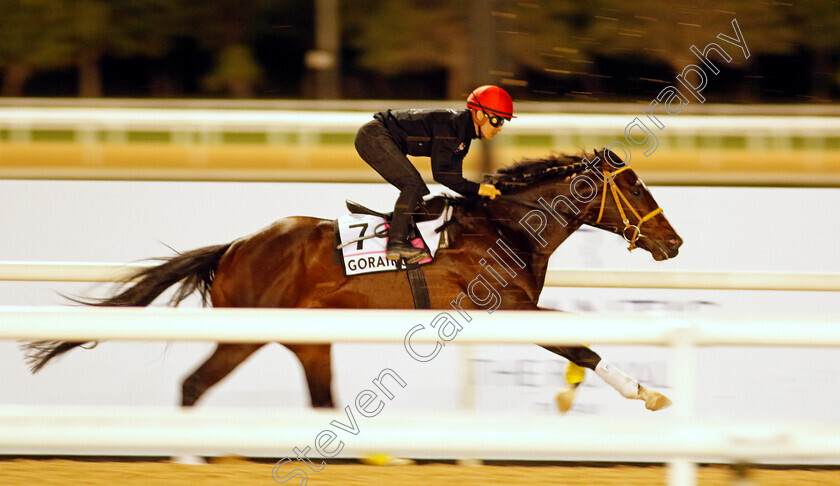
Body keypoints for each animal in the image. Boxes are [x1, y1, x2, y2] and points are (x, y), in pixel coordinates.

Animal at [24, 149, 684, 414]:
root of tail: (235, 247)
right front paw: (646, 392)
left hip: (306, 339)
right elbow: (581, 343)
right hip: (245, 331)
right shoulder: (506, 309)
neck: (503, 227)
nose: (674, 243)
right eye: (635, 187)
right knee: (193, 385)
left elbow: (576, 346)